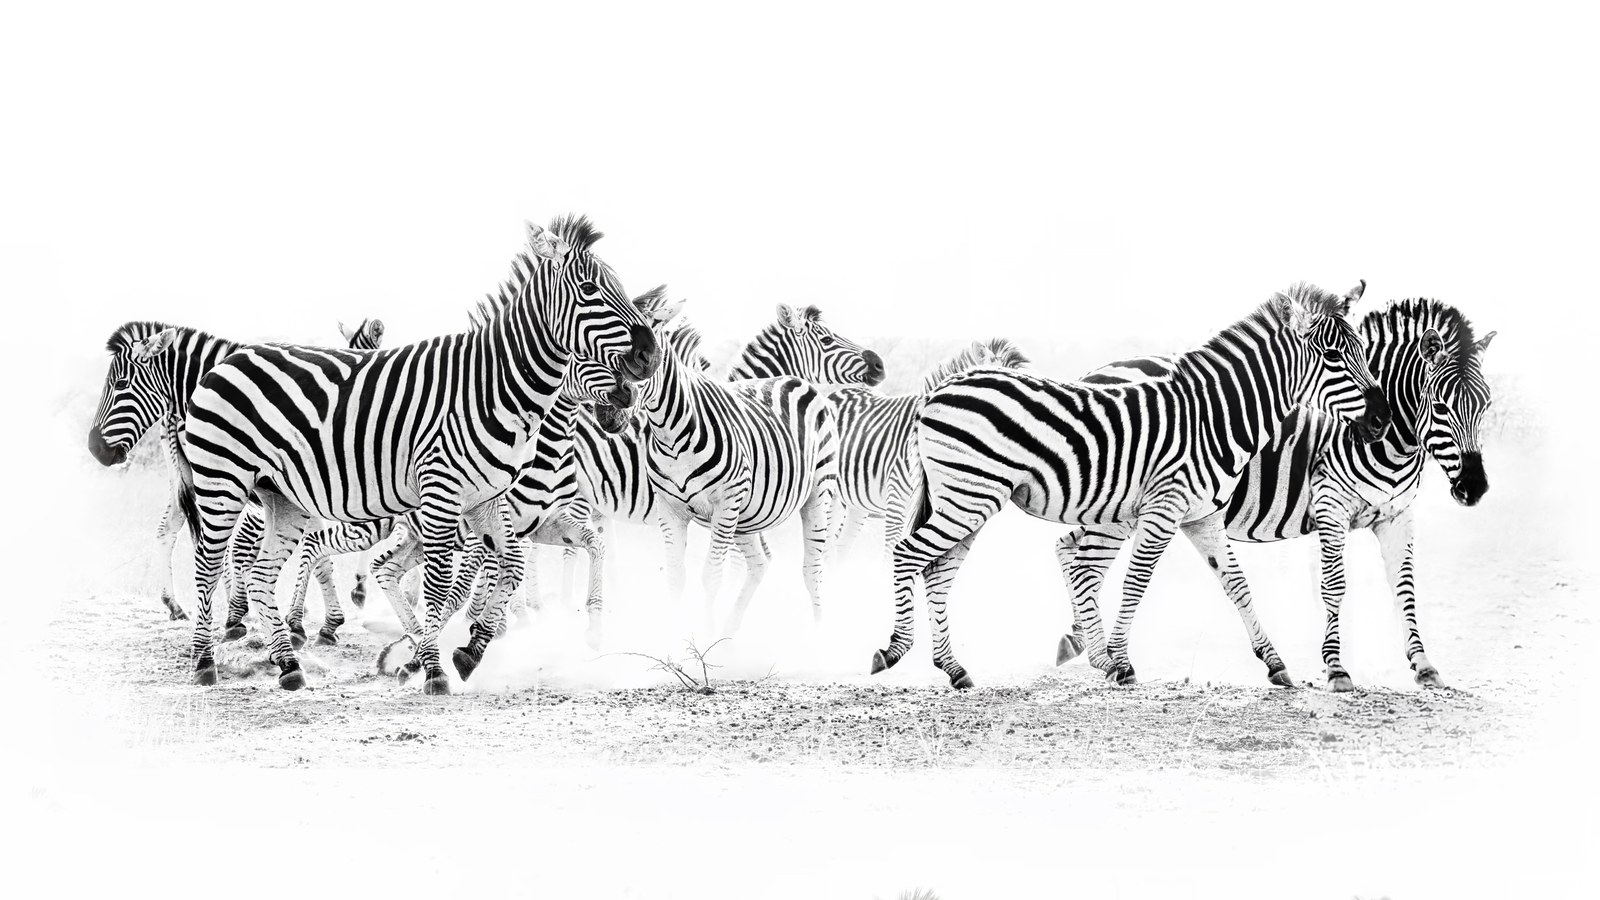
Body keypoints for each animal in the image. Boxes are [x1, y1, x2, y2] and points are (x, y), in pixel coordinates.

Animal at [171, 215, 658, 694]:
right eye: (589, 288)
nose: (648, 358)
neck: (492, 385)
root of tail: (230, 358)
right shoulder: (442, 494)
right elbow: (442, 587)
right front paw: (432, 667)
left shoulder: (486, 500)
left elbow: (512, 567)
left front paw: (469, 650)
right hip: (223, 481)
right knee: (208, 564)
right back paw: (205, 661)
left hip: (283, 499)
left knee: (262, 573)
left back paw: (289, 665)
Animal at [874, 281, 1392, 689]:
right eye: (1332, 356)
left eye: (1363, 351)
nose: (1382, 422)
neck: (1213, 418)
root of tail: (939, 389)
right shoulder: (1164, 506)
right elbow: (1136, 582)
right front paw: (1121, 663)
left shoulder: (1203, 515)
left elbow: (1238, 584)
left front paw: (1276, 663)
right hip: (969, 497)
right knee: (908, 554)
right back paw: (892, 649)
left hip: (971, 498)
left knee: (938, 569)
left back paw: (954, 668)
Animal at [1056, 298, 1495, 690]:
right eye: (1440, 406)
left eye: (1487, 405)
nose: (1474, 489)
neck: (1390, 446)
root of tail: (1096, 372)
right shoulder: (1330, 504)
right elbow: (1334, 585)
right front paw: (1336, 669)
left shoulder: (1396, 516)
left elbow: (1405, 588)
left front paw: (1424, 666)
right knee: (1085, 564)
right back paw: (1104, 657)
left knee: (1068, 548)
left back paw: (1080, 642)